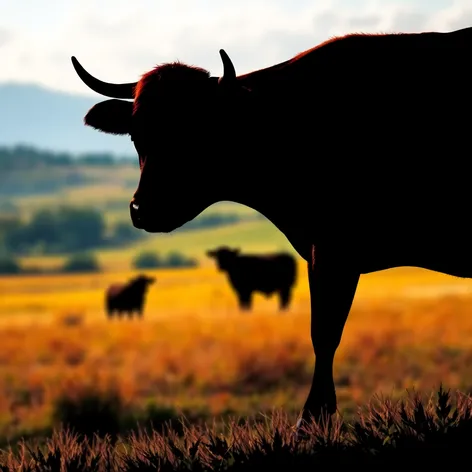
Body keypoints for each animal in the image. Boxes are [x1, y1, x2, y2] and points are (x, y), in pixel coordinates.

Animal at [71, 24, 472, 432]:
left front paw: (312, 418)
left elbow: (324, 331)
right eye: (136, 135)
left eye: (199, 132)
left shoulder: (333, 250)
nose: (144, 209)